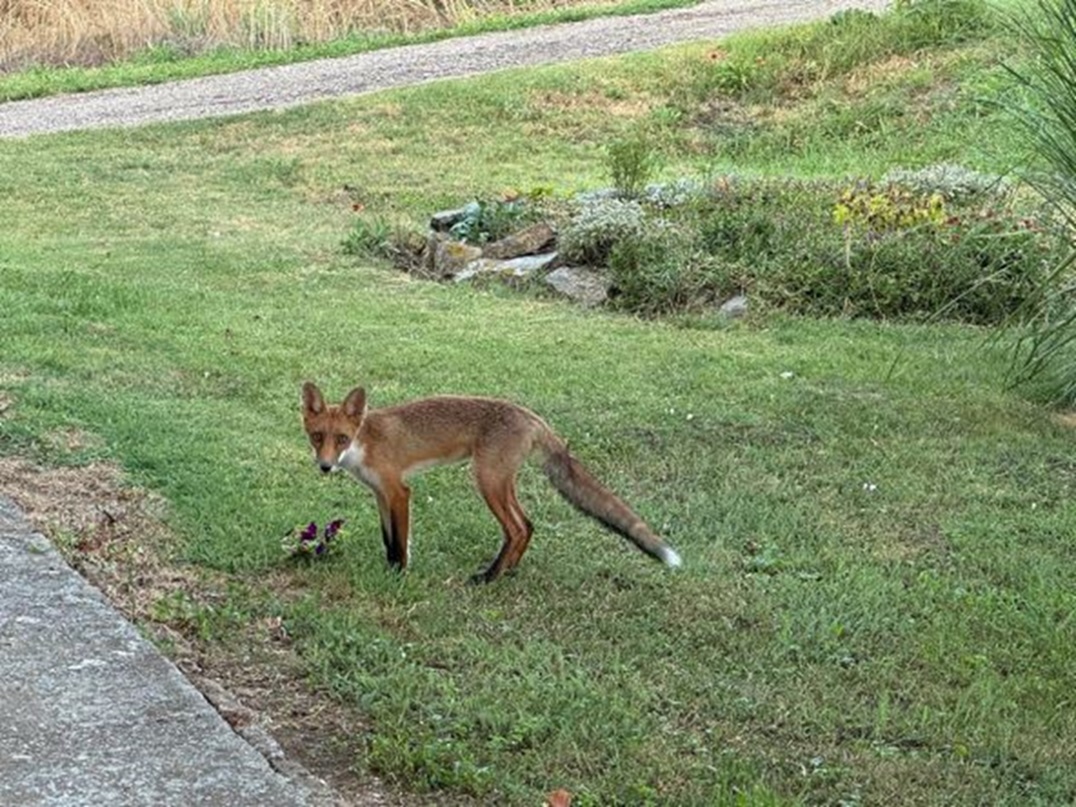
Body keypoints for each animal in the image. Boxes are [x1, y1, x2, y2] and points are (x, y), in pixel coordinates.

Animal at [301, 383, 680, 585]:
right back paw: (508, 570)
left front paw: (399, 576)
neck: (364, 443)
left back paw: (490, 576)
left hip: (486, 481)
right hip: (500, 482)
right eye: (317, 437)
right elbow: (389, 539)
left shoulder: (398, 491)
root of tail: (532, 417)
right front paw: (390, 569)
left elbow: (400, 543)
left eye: (341, 438)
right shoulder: (381, 493)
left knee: (516, 528)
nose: (325, 466)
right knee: (528, 525)